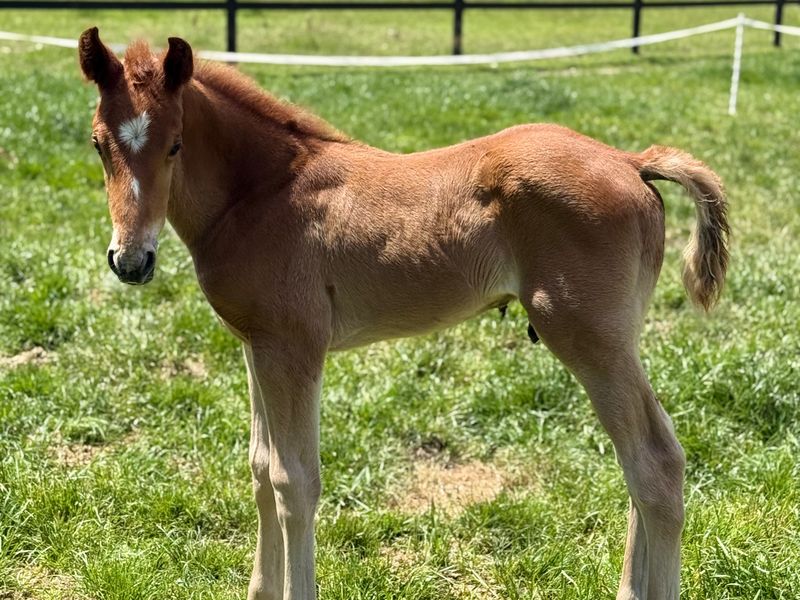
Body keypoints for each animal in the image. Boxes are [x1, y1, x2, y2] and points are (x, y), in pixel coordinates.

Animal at [78, 27, 728, 600]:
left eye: (176, 144)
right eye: (98, 144)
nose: (130, 261)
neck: (259, 194)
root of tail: (630, 160)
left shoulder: (293, 348)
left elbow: (295, 482)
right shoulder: (255, 346)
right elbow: (262, 469)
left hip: (591, 340)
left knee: (654, 465)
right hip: (616, 342)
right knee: (642, 463)